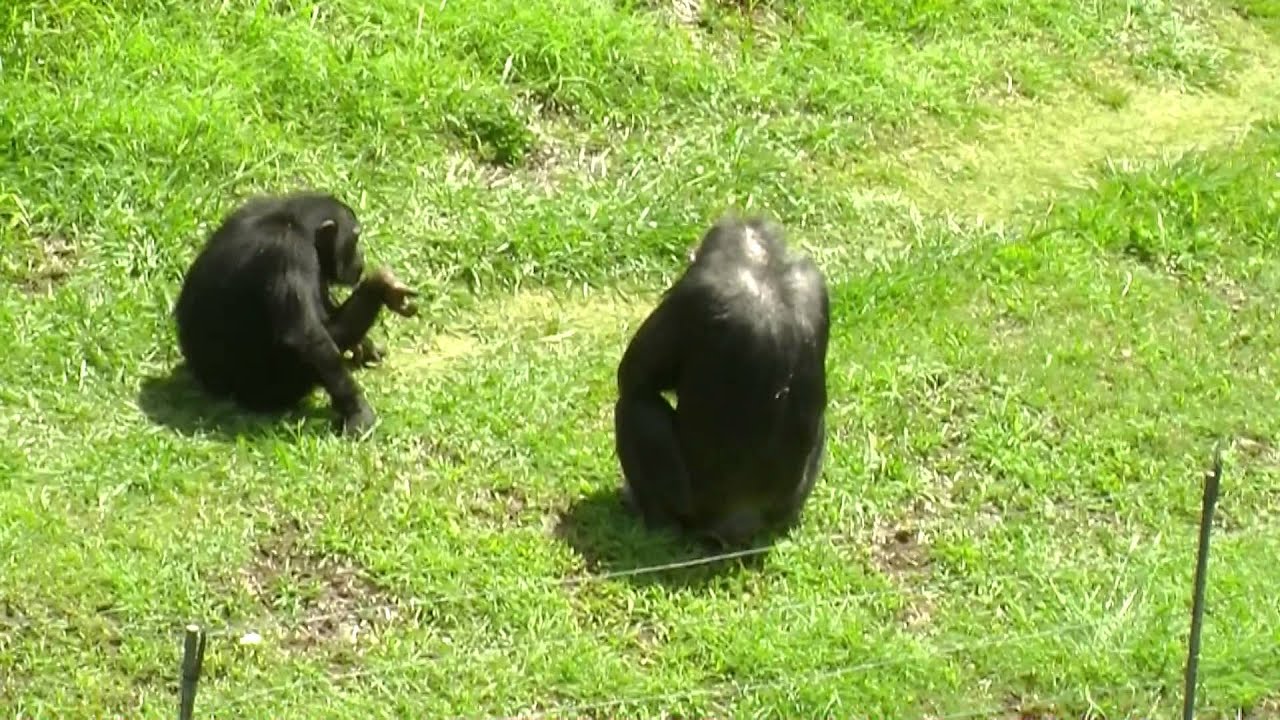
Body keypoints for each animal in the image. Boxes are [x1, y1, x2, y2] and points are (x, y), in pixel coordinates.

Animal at [173, 191, 418, 437]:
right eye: (355, 238)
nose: (361, 259)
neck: (295, 223)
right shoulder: (289, 254)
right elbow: (307, 338)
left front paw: (366, 344)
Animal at [613, 215, 830, 548]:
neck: (762, 267)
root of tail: (740, 522)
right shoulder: (816, 286)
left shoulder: (691, 296)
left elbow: (634, 377)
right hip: (787, 504)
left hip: (691, 508)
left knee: (636, 409)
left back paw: (654, 519)